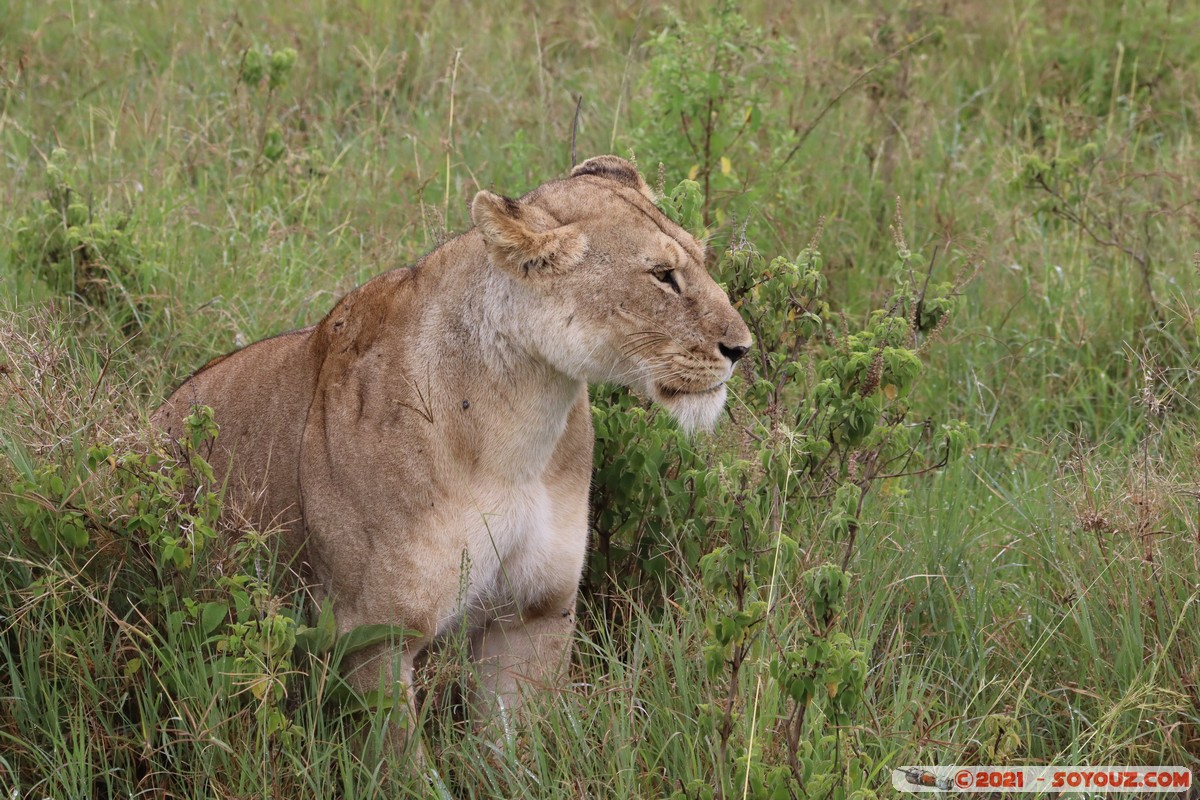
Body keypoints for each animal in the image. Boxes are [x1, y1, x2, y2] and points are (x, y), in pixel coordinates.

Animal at [152, 155, 751, 747]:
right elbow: (399, 761)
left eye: (701, 261)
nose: (742, 348)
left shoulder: (534, 615)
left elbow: (517, 750)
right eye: (662, 276)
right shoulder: (373, 634)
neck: (519, 435)